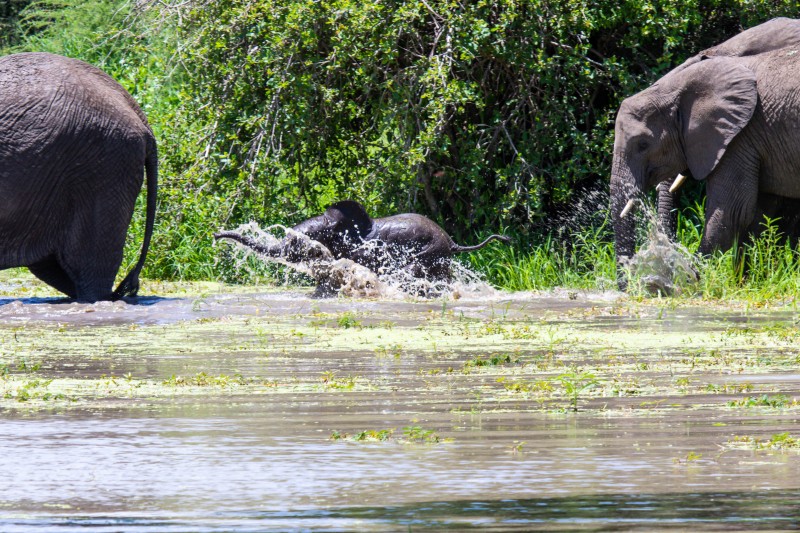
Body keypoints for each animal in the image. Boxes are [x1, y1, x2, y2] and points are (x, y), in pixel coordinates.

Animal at [612, 17, 800, 286]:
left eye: (643, 144)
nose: (626, 286)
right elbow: (760, 215)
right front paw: (746, 281)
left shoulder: (741, 136)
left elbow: (733, 211)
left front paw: (691, 280)